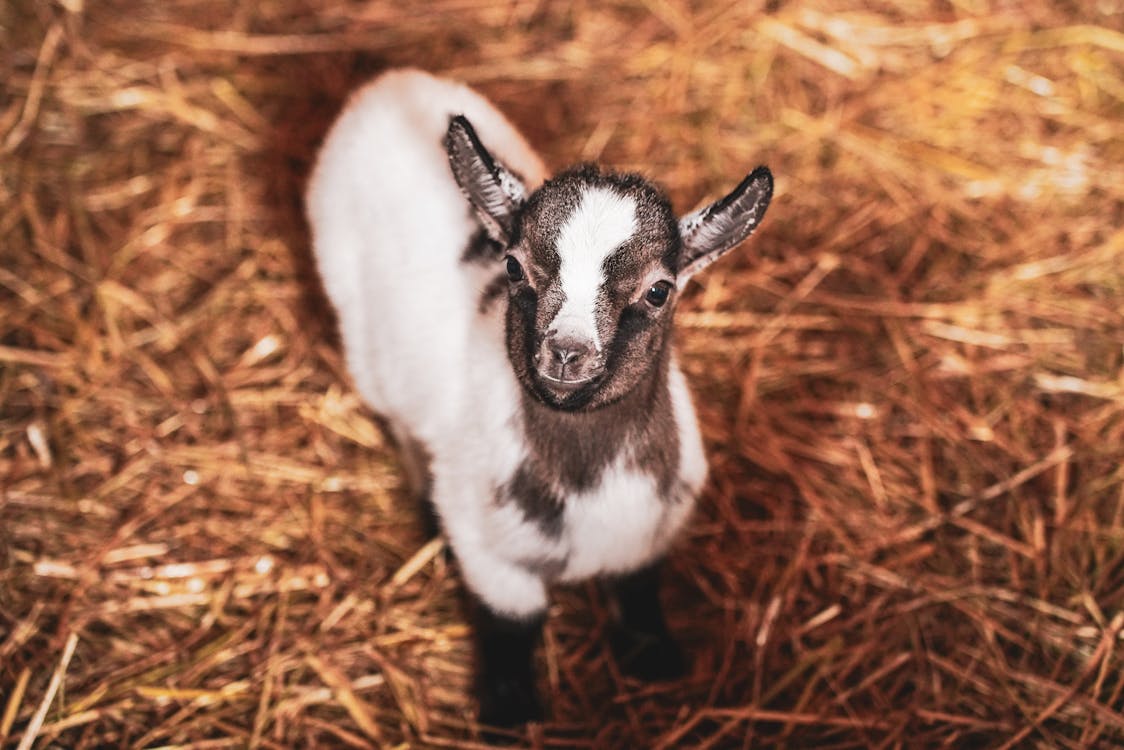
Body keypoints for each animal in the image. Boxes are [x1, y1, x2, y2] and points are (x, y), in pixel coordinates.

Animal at [307, 68, 773, 728]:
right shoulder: (489, 552)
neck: (590, 480)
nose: (567, 352)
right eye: (514, 266)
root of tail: (387, 82)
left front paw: (655, 660)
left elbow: (638, 592)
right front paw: (508, 707)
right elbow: (513, 621)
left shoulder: (650, 533)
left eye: (659, 290)